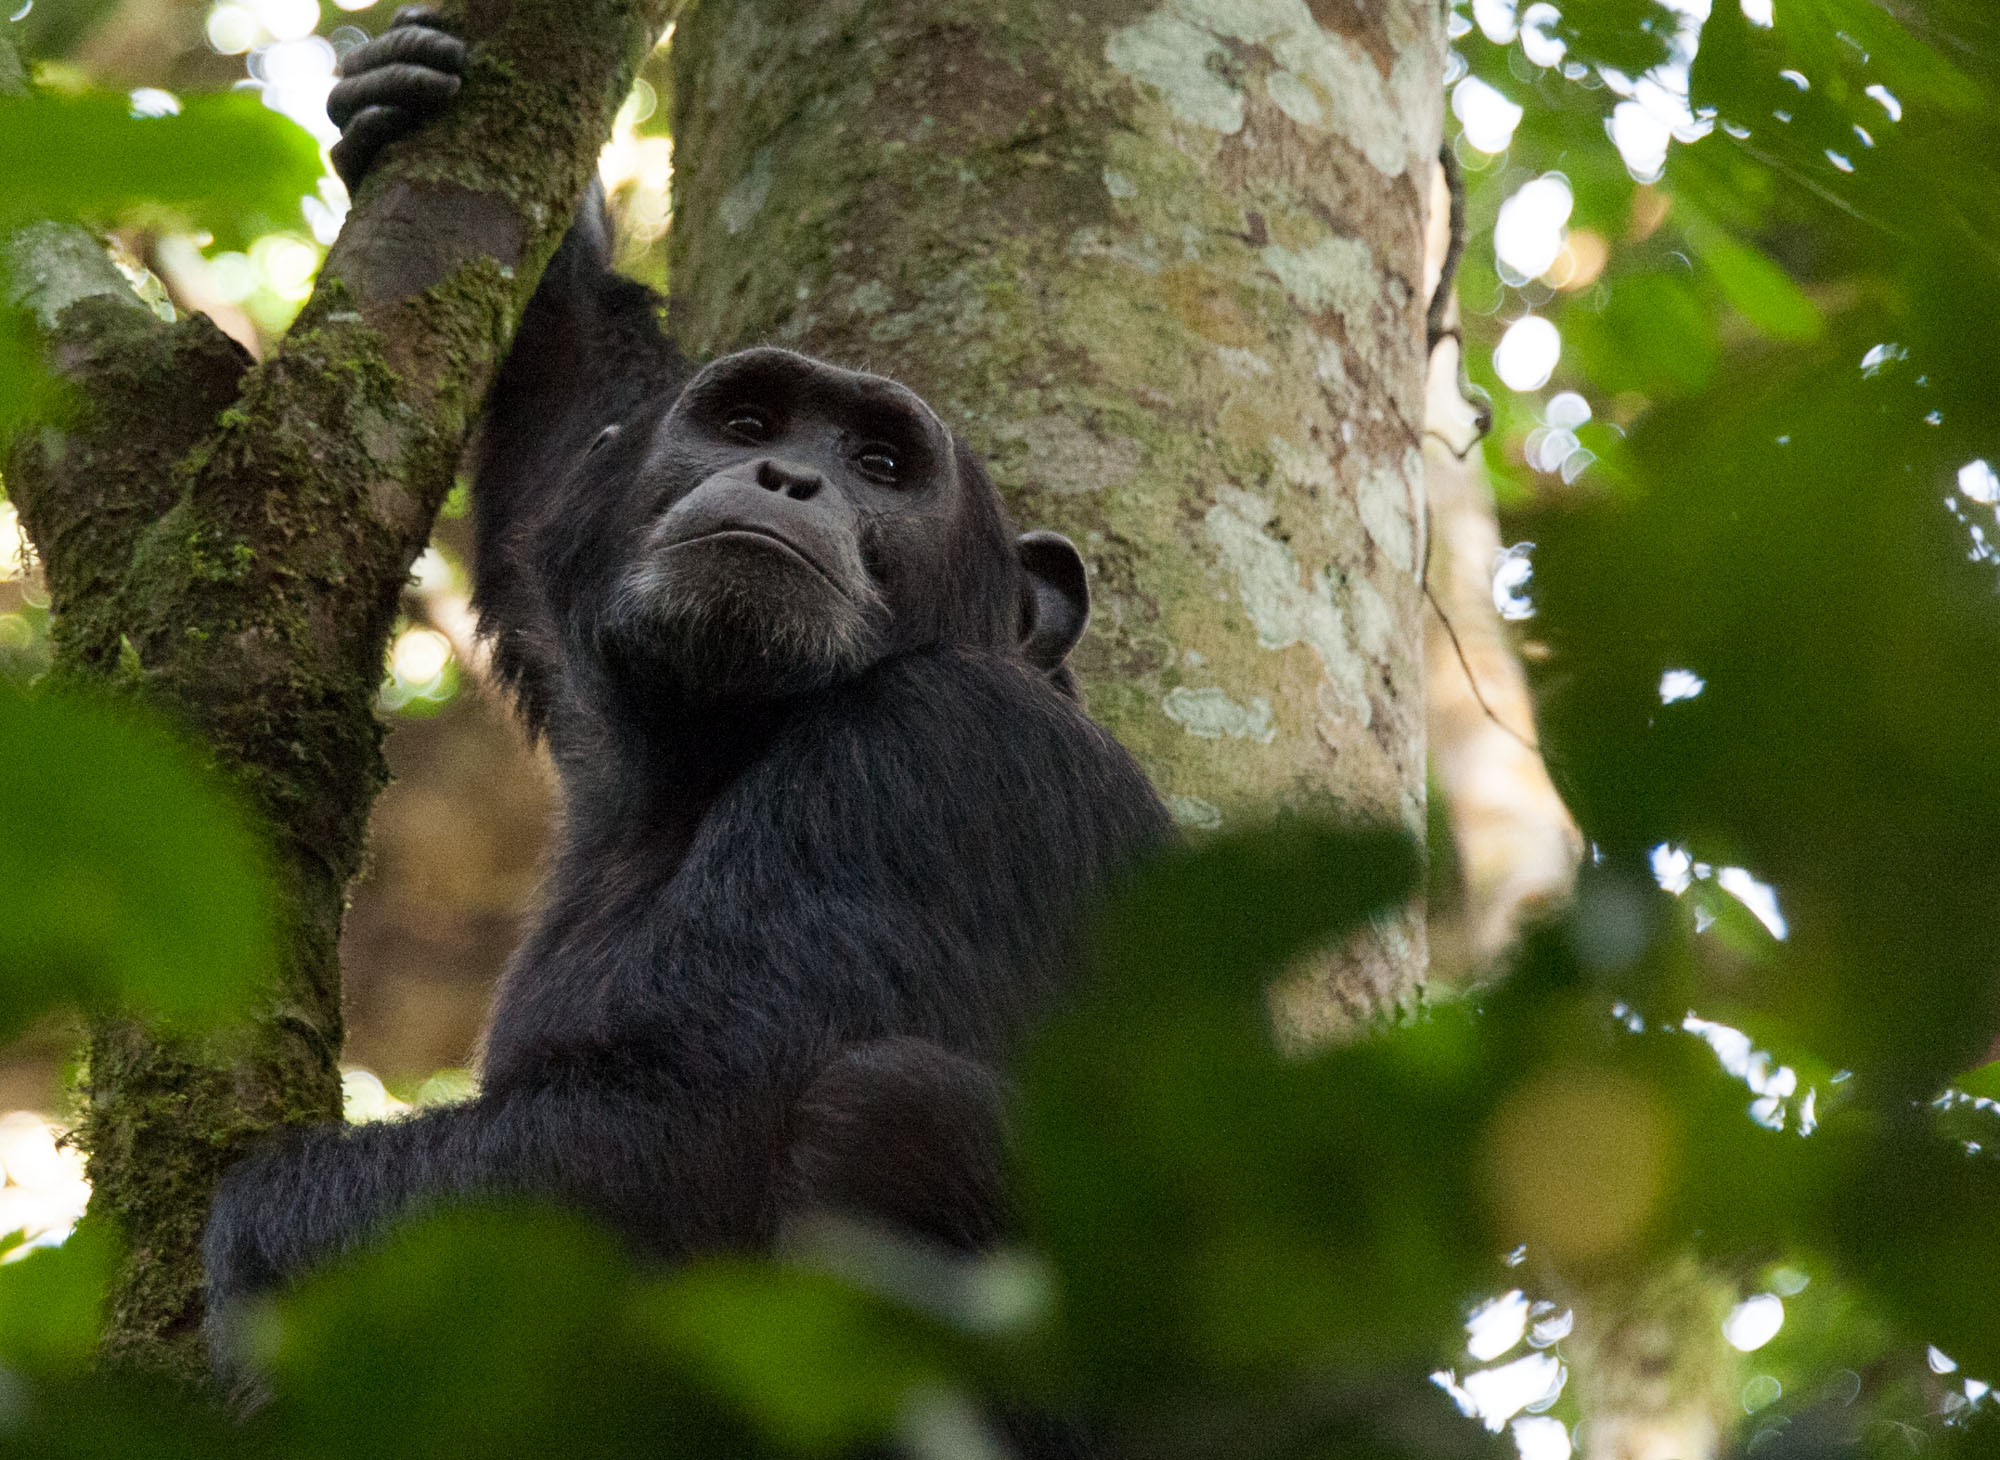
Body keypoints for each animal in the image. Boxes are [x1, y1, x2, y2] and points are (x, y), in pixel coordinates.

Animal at [203, 5, 1168, 1328]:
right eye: (746, 423)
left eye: (879, 462)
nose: (789, 476)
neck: (721, 745)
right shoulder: (597, 655)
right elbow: (560, 464)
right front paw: (418, 121)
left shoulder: (935, 750)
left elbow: (679, 1125)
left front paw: (246, 1229)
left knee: (885, 1103)